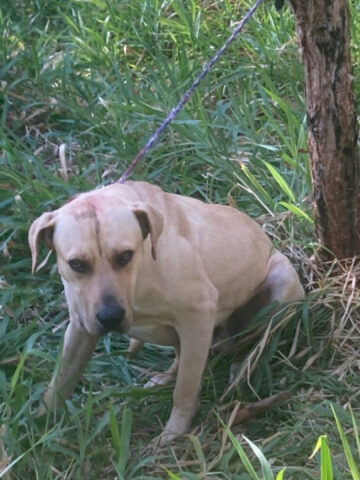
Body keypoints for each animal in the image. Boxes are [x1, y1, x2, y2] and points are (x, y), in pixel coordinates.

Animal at [28, 183, 304, 442]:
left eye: (125, 256)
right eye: (77, 264)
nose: (110, 317)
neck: (141, 275)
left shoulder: (198, 313)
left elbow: (185, 387)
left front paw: (175, 430)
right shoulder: (80, 329)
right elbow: (59, 381)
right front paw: (39, 426)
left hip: (281, 284)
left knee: (249, 344)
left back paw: (240, 369)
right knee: (182, 358)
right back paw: (166, 376)